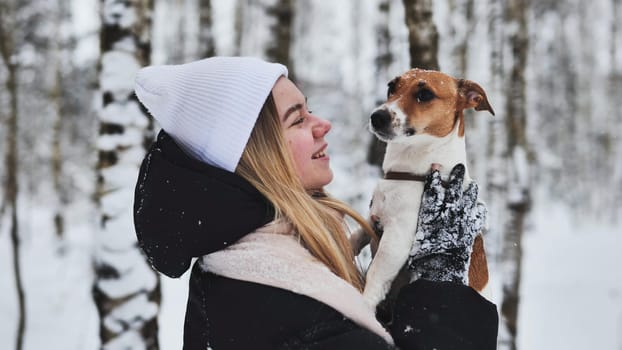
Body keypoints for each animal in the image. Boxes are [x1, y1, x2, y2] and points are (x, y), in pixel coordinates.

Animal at [364, 69, 494, 312]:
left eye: (425, 94)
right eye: (391, 87)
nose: (377, 116)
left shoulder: (397, 239)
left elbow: (375, 274)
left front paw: (362, 303)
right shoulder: (372, 217)